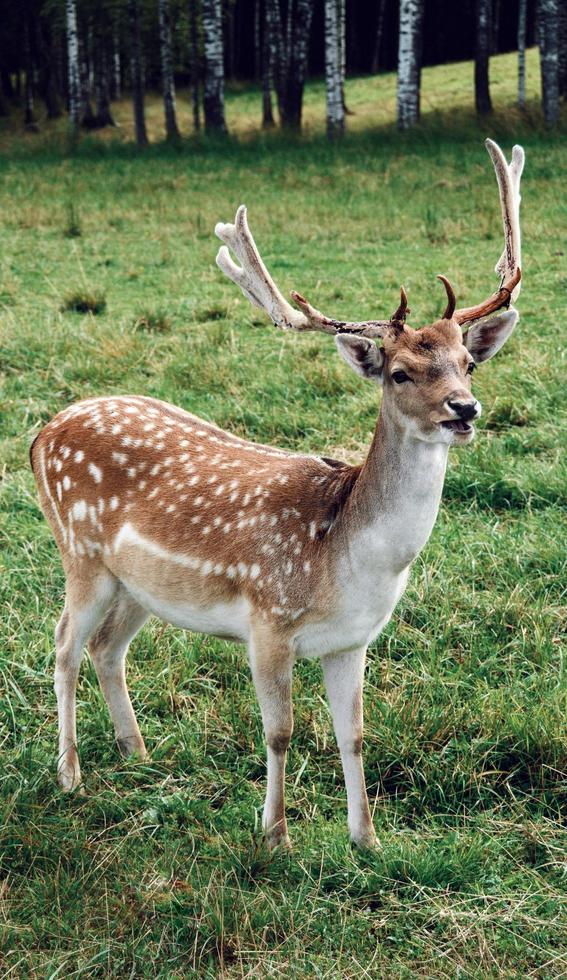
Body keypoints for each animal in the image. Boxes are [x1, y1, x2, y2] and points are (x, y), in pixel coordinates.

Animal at [30, 140, 524, 848]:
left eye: (469, 363)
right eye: (400, 372)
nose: (466, 409)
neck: (344, 560)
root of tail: (41, 434)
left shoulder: (353, 639)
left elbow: (355, 735)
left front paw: (366, 839)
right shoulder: (268, 622)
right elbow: (281, 731)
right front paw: (275, 837)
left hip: (139, 584)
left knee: (107, 647)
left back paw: (138, 754)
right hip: (81, 553)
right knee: (65, 644)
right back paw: (70, 775)